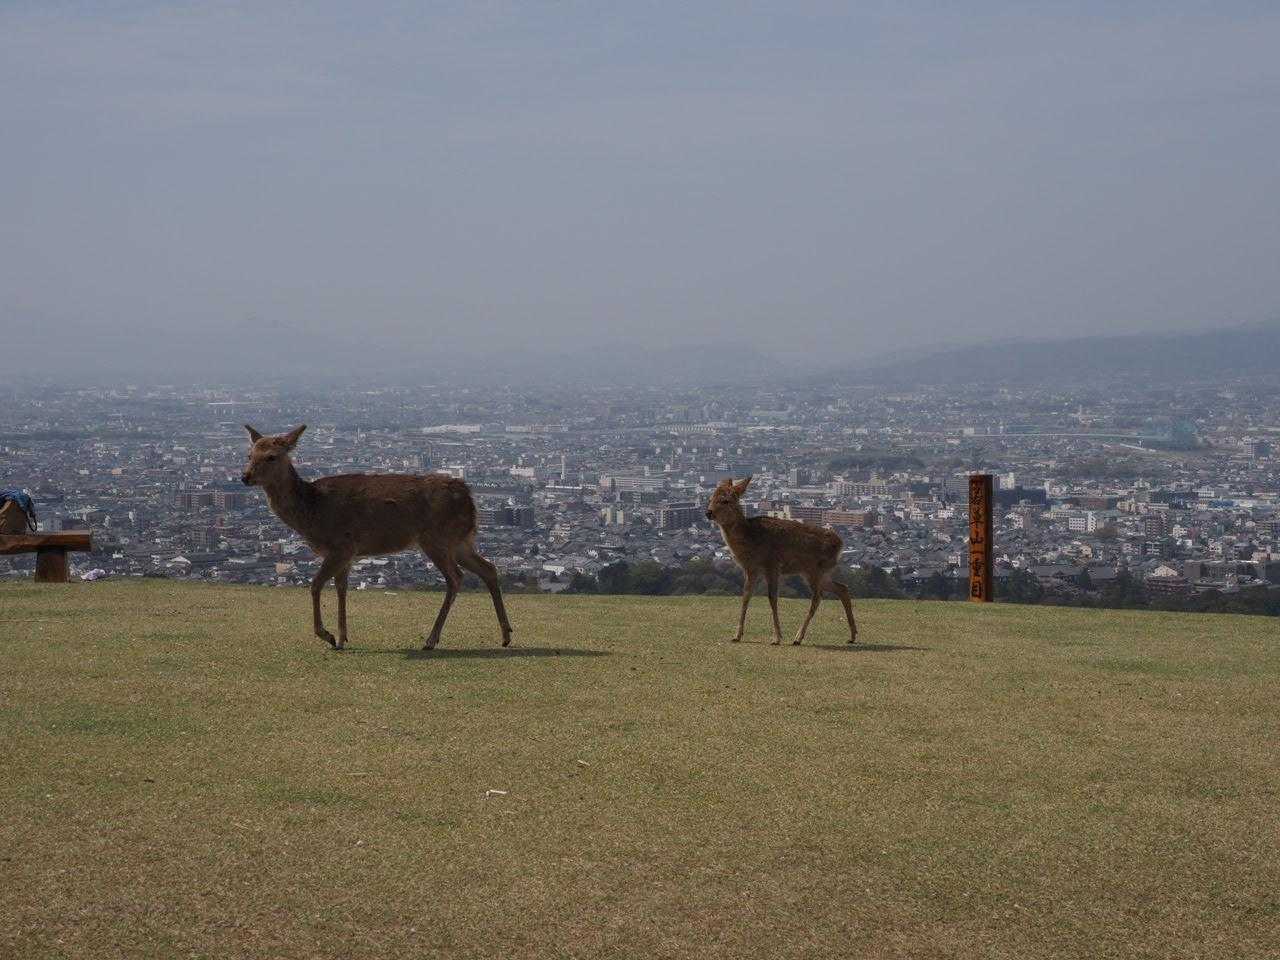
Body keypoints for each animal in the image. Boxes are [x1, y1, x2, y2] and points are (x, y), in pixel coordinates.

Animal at [240, 424, 513, 651]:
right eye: (249, 454)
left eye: (271, 456)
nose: (245, 477)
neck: (312, 511)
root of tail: (470, 499)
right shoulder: (347, 554)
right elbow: (341, 588)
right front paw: (342, 639)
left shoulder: (341, 545)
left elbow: (315, 584)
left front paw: (327, 635)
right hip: (461, 541)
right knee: (489, 568)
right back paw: (506, 635)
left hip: (436, 539)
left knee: (456, 577)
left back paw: (431, 640)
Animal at [705, 476, 858, 646]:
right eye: (711, 498)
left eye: (725, 500)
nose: (708, 512)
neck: (750, 539)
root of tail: (840, 544)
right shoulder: (751, 569)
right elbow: (745, 596)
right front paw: (737, 635)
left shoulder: (772, 565)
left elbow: (772, 598)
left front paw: (776, 637)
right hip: (818, 572)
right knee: (842, 588)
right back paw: (852, 635)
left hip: (815, 570)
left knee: (818, 597)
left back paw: (798, 637)